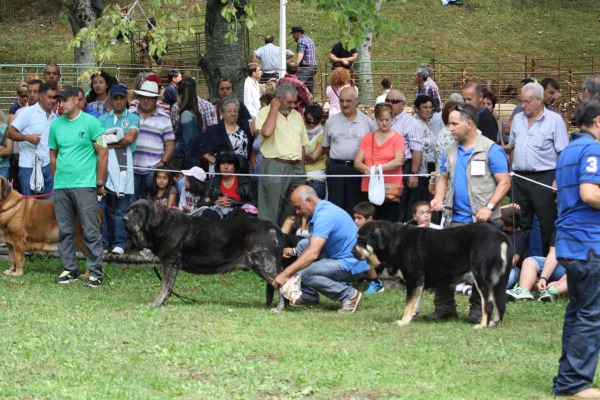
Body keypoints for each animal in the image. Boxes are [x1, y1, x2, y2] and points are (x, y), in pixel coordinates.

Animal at [123, 202, 288, 310]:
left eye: (137, 212)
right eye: (129, 210)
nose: (124, 219)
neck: (163, 224)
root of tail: (273, 226)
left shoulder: (169, 263)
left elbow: (164, 286)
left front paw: (157, 303)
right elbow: (168, 287)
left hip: (262, 264)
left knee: (282, 283)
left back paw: (280, 307)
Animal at [354, 222, 512, 328]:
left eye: (361, 239)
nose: (351, 251)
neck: (394, 240)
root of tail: (502, 237)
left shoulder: (414, 280)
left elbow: (408, 303)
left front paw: (403, 321)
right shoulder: (418, 283)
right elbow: (415, 303)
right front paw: (411, 318)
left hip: (481, 278)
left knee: (488, 304)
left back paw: (483, 325)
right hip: (499, 282)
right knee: (500, 303)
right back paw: (494, 323)